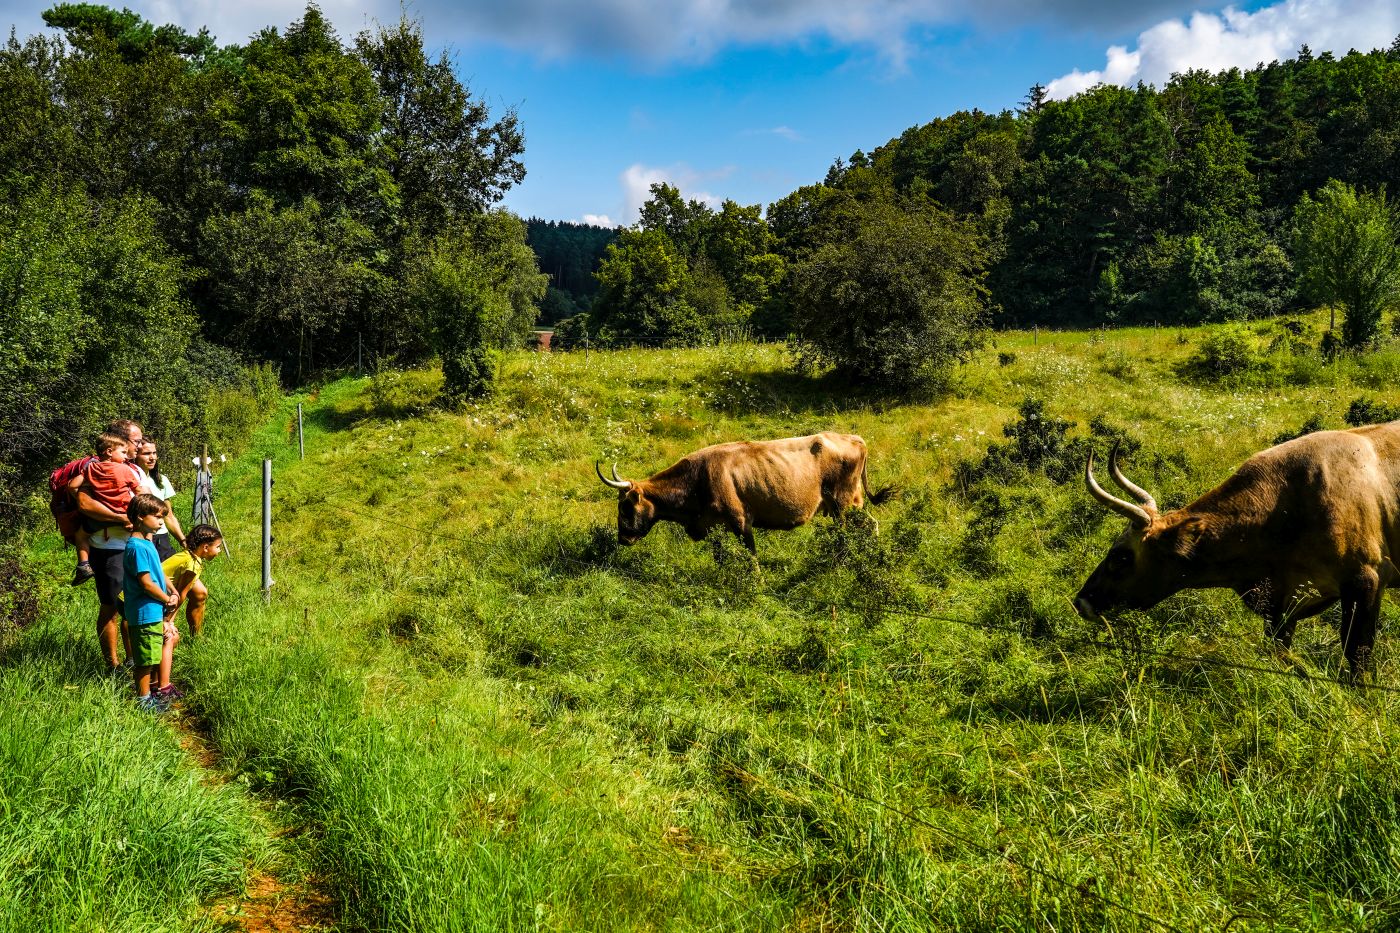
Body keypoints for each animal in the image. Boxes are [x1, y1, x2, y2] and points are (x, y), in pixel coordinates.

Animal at [593, 431, 896, 551]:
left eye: (625, 507)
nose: (622, 539)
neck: (696, 481)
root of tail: (854, 438)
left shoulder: (741, 523)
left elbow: (751, 558)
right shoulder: (713, 528)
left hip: (846, 504)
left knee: (865, 527)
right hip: (842, 507)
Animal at [1075, 423, 1400, 675]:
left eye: (1122, 556)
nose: (1081, 601)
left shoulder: (1365, 580)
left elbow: (1357, 652)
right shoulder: (1282, 605)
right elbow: (1281, 651)